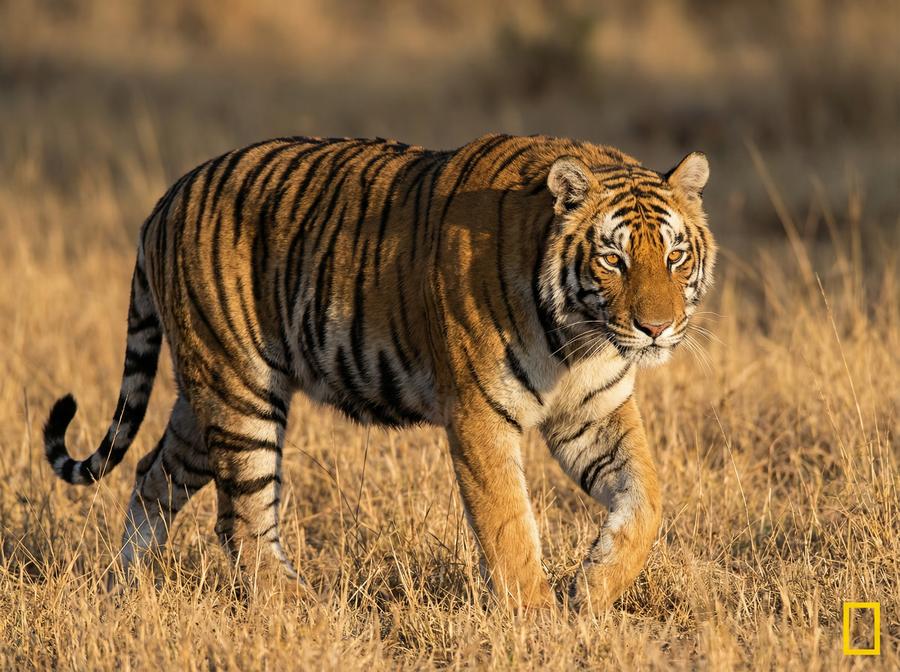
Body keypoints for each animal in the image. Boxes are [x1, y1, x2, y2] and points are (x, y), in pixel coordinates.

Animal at [43, 133, 715, 611]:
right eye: (613, 259)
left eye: (675, 256)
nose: (656, 328)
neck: (579, 340)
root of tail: (168, 196)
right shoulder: (479, 415)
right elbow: (509, 526)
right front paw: (540, 621)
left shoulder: (594, 413)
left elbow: (647, 500)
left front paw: (592, 587)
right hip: (241, 393)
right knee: (241, 522)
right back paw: (306, 610)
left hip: (203, 397)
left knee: (152, 477)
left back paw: (125, 592)